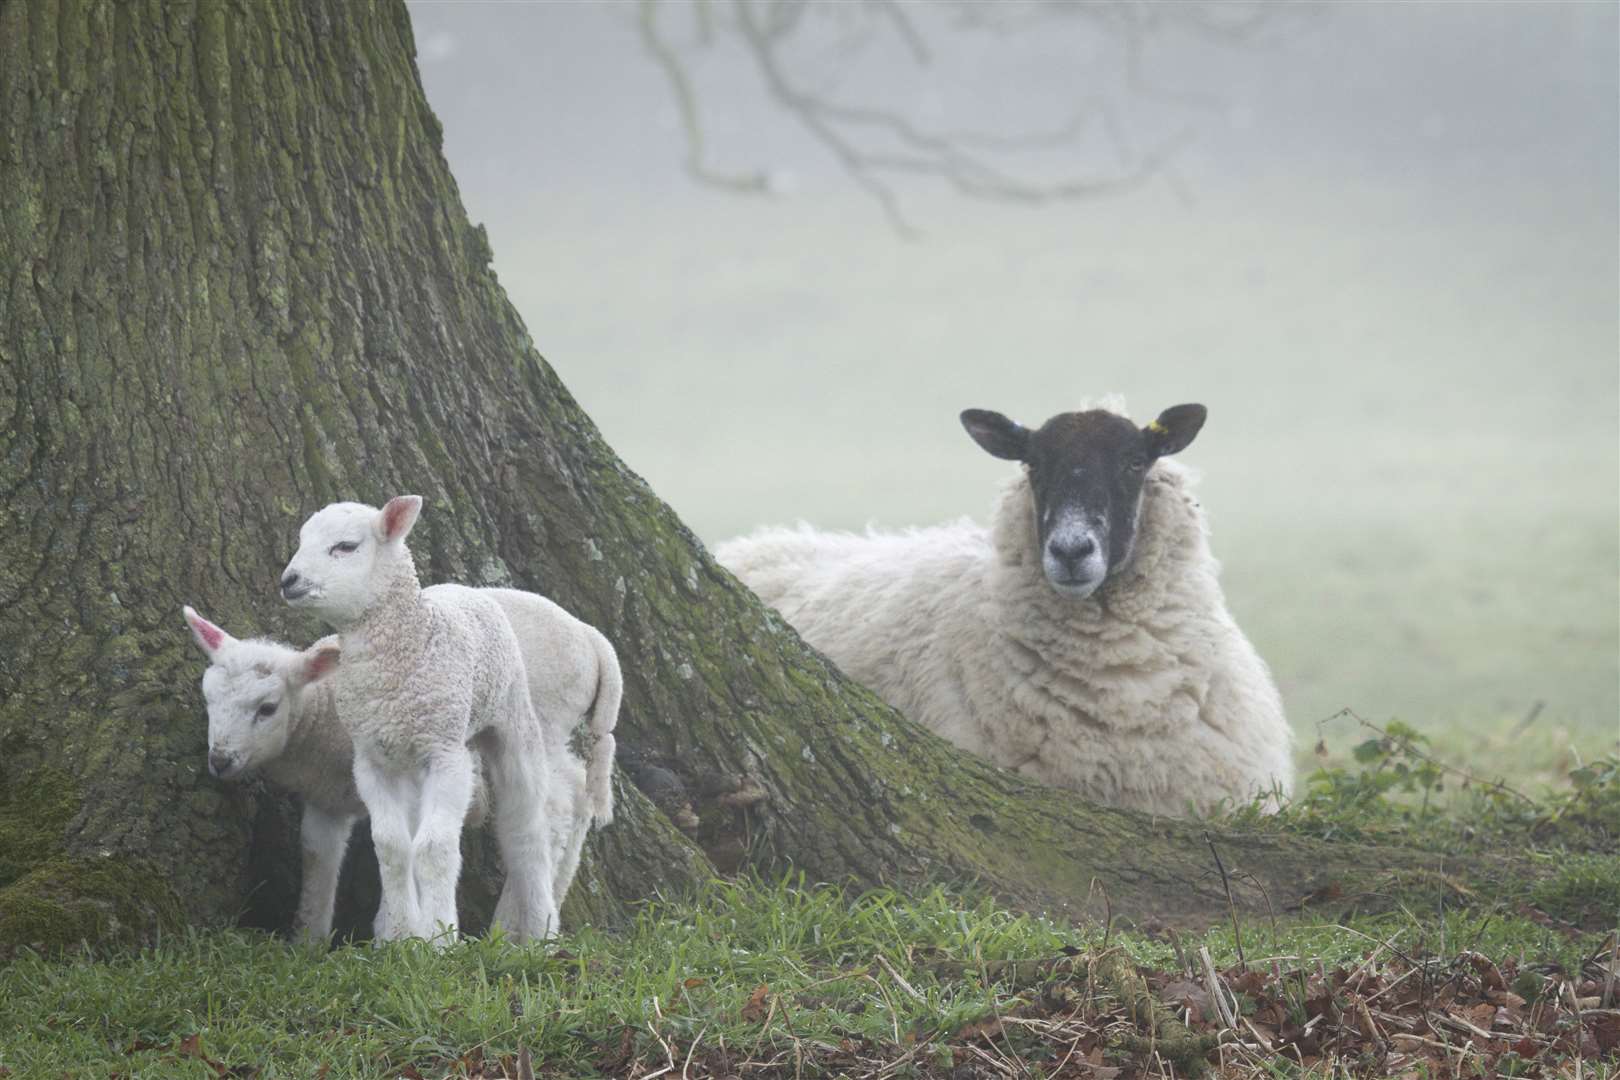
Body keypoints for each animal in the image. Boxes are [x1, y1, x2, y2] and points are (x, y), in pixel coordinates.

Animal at [180, 595, 615, 939]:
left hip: (543, 719)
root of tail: (592, 637)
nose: (220, 760)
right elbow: (318, 856)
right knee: (578, 794)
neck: (324, 711)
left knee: (549, 812)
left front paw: (396, 933)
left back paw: (512, 926)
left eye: (267, 708)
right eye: (207, 699)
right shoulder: (326, 800)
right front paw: (308, 942)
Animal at [278, 495, 609, 939]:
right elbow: (392, 846)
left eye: (345, 546)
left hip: (516, 722)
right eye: (302, 541)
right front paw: (401, 935)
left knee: (529, 826)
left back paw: (538, 929)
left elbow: (434, 847)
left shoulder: (445, 755)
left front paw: (440, 938)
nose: (289, 580)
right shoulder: (371, 760)